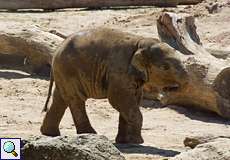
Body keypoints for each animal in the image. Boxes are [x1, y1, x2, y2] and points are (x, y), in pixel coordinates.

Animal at [41, 27, 189, 144]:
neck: (141, 42)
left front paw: (126, 141)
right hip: (69, 70)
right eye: (165, 67)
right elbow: (119, 99)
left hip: (63, 73)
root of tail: (56, 50)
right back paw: (89, 134)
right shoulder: (119, 70)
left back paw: (49, 134)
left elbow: (132, 100)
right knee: (76, 100)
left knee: (61, 99)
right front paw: (138, 142)